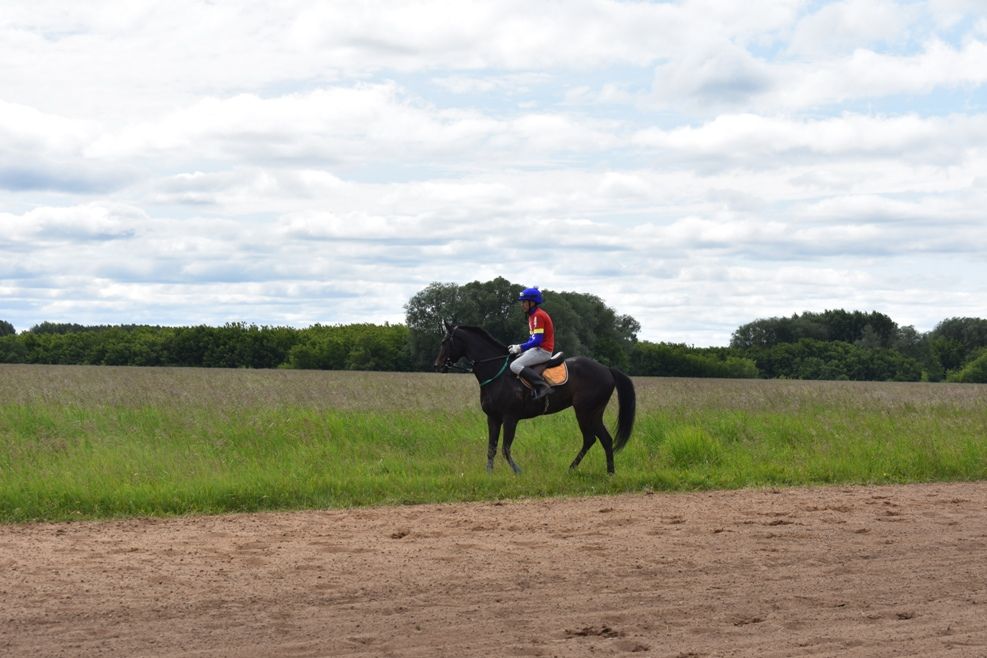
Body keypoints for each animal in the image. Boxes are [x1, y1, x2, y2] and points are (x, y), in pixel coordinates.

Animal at [434, 320, 636, 474]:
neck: (497, 372)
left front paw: (517, 472)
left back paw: (598, 471)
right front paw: (489, 474)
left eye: (444, 341)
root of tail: (606, 369)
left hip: (586, 412)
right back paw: (593, 470)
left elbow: (505, 448)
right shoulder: (493, 418)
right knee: (598, 439)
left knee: (595, 439)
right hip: (591, 413)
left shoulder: (510, 418)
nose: (437, 365)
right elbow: (491, 448)